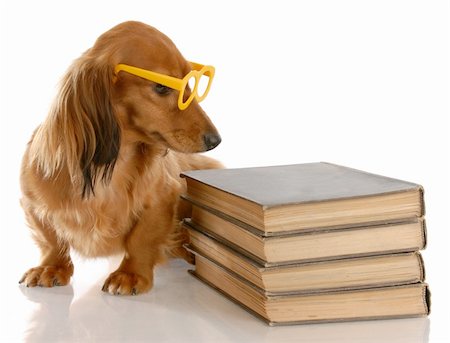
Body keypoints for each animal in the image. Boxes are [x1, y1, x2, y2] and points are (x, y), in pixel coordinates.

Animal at [19, 21, 223, 296]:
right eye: (161, 87)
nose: (215, 140)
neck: (111, 166)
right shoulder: (31, 200)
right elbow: (50, 239)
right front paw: (51, 267)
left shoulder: (164, 196)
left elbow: (142, 237)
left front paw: (130, 274)